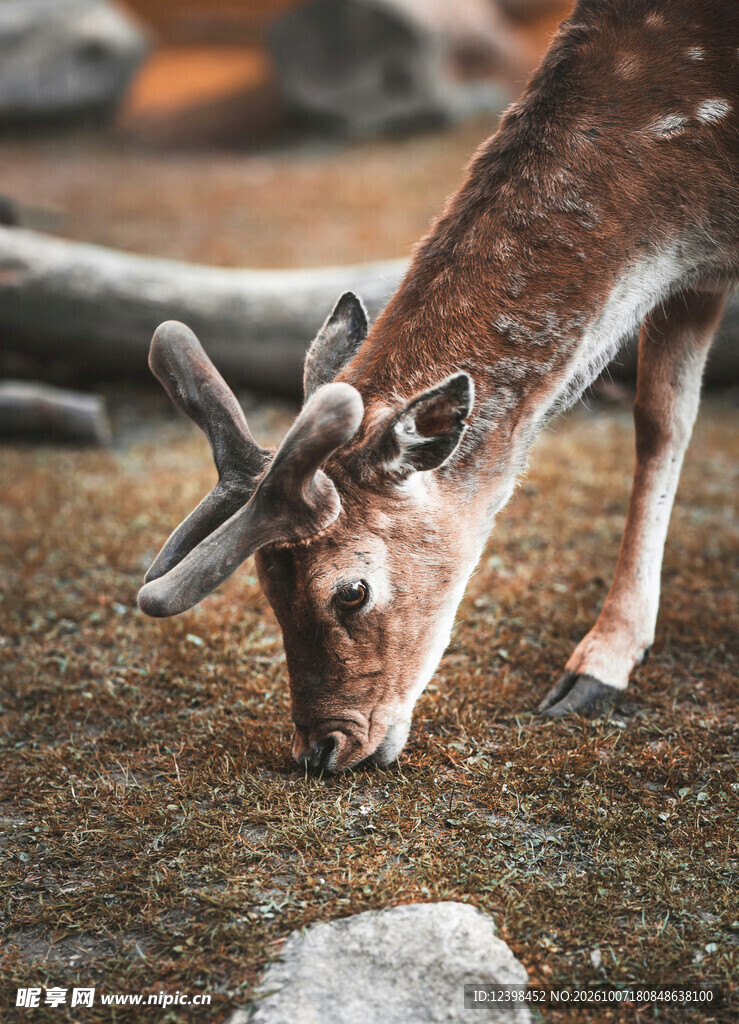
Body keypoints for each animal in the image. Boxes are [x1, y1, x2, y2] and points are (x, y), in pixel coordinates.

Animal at [137, 0, 737, 773]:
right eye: (267, 586)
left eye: (351, 592)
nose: (322, 749)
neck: (693, 194)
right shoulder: (693, 279)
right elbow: (661, 420)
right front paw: (605, 663)